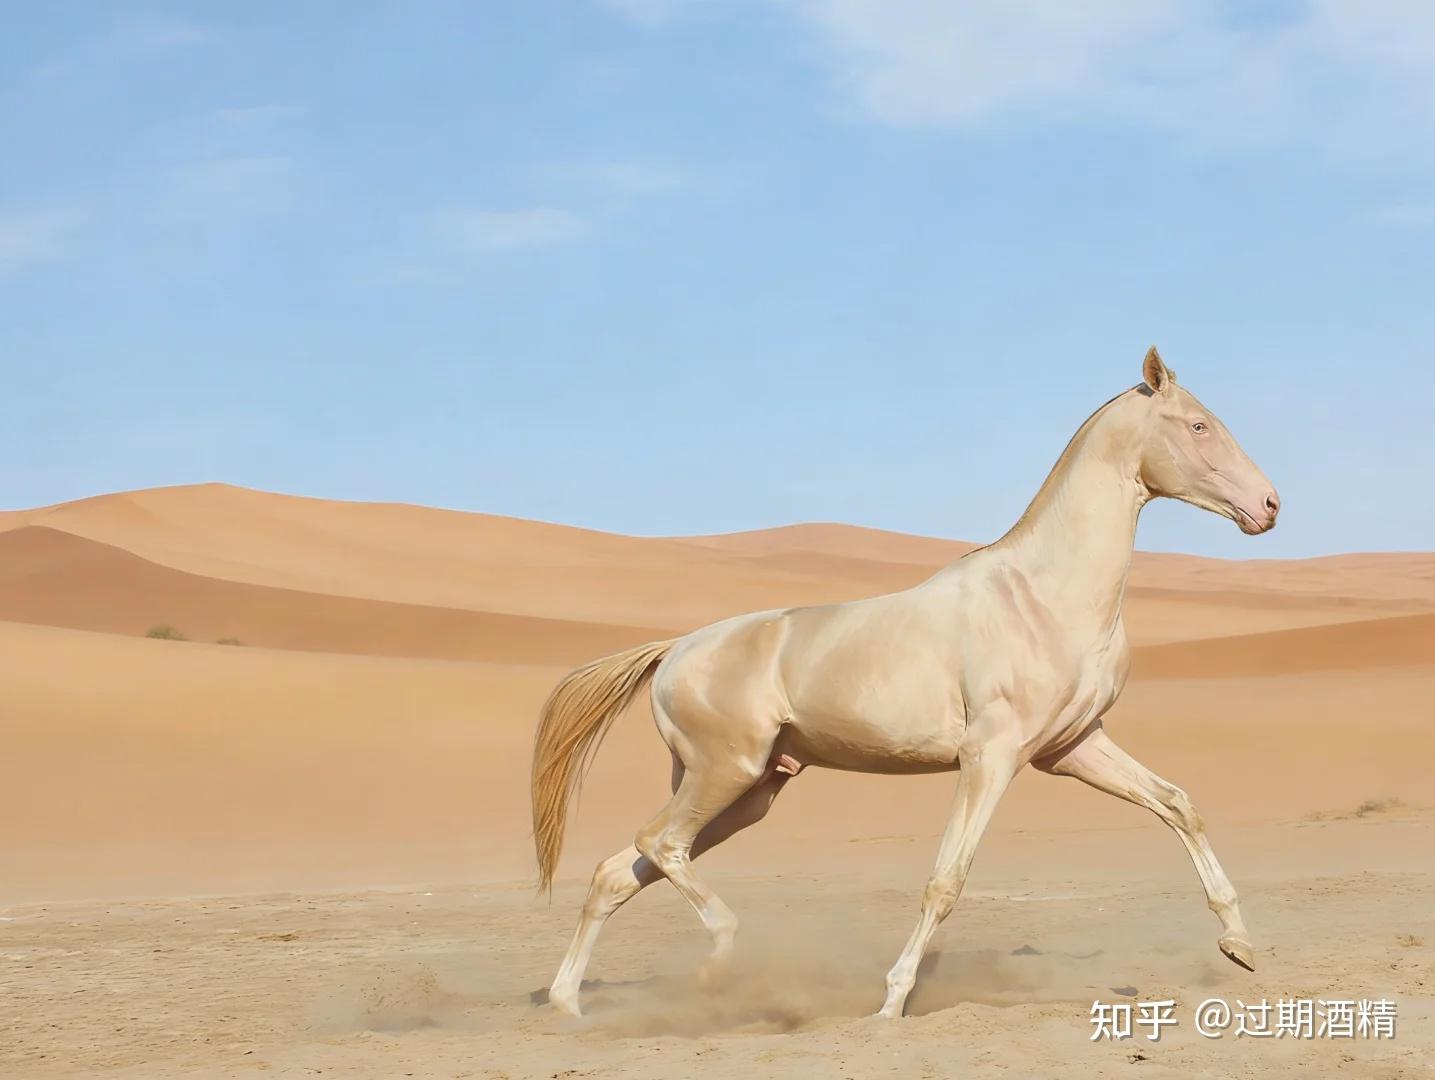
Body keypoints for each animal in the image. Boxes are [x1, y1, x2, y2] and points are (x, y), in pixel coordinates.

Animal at [531, 348, 1279, 1018]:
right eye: (1198, 425)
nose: (1269, 505)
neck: (1044, 593)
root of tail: (674, 651)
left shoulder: (1072, 748)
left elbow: (1179, 805)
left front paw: (1238, 944)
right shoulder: (990, 758)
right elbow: (945, 881)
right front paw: (892, 1000)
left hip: (749, 790)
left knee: (620, 870)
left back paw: (569, 1003)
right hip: (725, 772)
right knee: (657, 846)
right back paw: (715, 964)